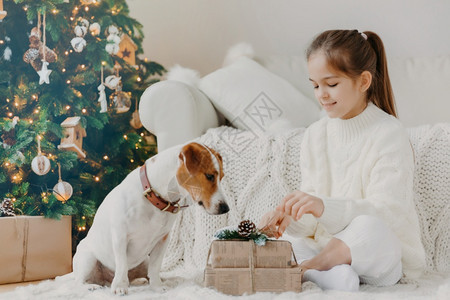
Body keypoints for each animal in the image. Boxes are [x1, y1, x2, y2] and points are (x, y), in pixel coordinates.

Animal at [74, 142, 230, 294]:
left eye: (221, 177)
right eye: (209, 176)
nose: (226, 208)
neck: (154, 196)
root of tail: (105, 279)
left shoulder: (162, 239)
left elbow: (155, 268)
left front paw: (157, 287)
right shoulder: (120, 237)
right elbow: (122, 264)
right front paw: (120, 286)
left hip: (144, 261)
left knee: (144, 274)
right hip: (88, 259)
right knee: (78, 281)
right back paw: (92, 286)